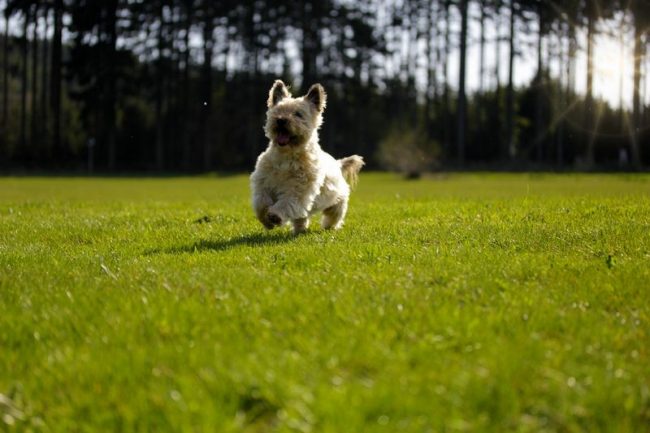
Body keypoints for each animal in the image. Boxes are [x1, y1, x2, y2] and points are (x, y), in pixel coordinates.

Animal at [249, 78, 362, 233]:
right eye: (278, 111)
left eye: (298, 114)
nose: (281, 120)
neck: (286, 156)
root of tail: (337, 163)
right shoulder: (263, 183)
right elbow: (261, 202)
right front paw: (267, 220)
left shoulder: (299, 188)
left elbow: (287, 202)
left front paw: (275, 216)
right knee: (301, 217)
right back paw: (299, 230)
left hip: (337, 201)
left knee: (334, 215)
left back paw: (328, 227)